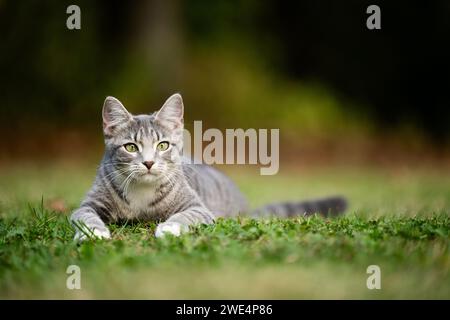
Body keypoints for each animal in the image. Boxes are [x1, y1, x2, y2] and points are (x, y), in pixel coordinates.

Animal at [70, 92, 346, 240]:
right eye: (130, 147)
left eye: (163, 145)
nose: (148, 162)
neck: (142, 193)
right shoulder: (89, 203)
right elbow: (84, 215)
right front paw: (95, 232)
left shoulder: (198, 208)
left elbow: (185, 215)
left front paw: (168, 227)